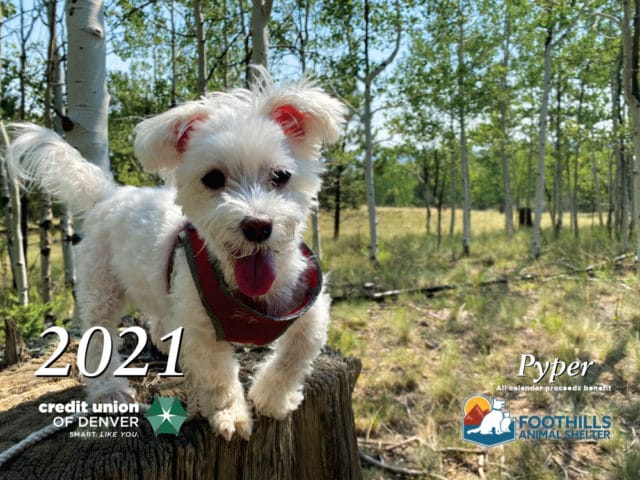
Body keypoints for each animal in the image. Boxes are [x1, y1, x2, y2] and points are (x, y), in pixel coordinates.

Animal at [6, 69, 344, 440]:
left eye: (281, 176)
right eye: (213, 178)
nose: (257, 226)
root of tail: (109, 194)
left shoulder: (310, 308)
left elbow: (295, 354)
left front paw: (272, 397)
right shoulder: (200, 324)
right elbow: (219, 376)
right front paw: (230, 414)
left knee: (158, 323)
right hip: (101, 290)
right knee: (97, 342)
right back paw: (109, 391)